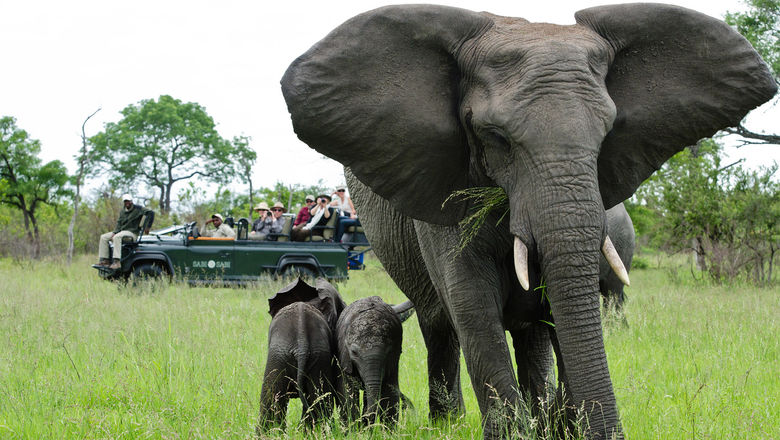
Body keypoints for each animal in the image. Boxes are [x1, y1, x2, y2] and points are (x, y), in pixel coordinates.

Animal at [338, 296, 418, 426]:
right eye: (354, 352)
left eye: (389, 351)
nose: (365, 417)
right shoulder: (344, 358)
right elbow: (348, 394)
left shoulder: (393, 360)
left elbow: (390, 395)